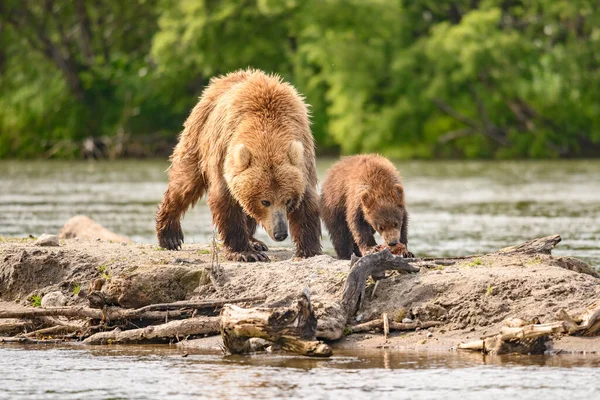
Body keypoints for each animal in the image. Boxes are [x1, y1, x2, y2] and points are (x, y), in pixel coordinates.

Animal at [157, 69, 322, 262]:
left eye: (287, 200)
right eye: (265, 201)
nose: (280, 233)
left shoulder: (304, 158)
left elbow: (307, 203)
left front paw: (308, 250)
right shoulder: (224, 153)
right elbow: (225, 201)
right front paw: (245, 252)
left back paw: (255, 241)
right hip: (198, 137)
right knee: (185, 183)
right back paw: (170, 236)